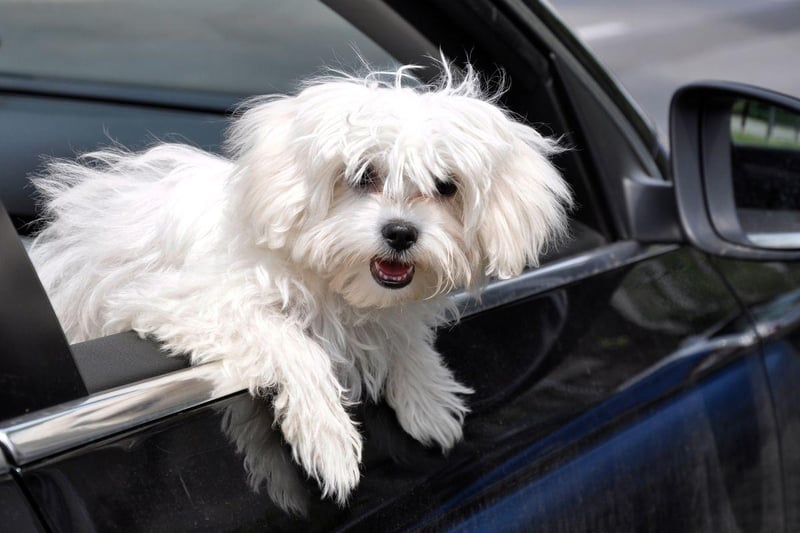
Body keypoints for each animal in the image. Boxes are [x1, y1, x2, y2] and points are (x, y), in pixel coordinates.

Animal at [29, 61, 568, 502]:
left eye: (446, 186)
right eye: (363, 175)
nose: (400, 233)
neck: (328, 278)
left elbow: (401, 336)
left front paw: (427, 395)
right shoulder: (189, 300)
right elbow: (294, 343)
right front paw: (329, 439)